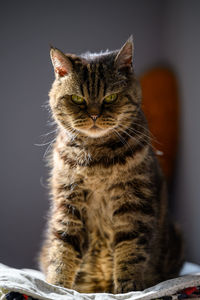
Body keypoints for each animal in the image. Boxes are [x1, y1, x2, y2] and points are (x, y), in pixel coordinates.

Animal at [38, 35, 184, 292]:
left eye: (111, 97)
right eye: (77, 98)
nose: (94, 114)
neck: (97, 159)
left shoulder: (134, 204)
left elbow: (130, 251)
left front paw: (128, 289)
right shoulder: (69, 202)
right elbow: (63, 249)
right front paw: (57, 288)